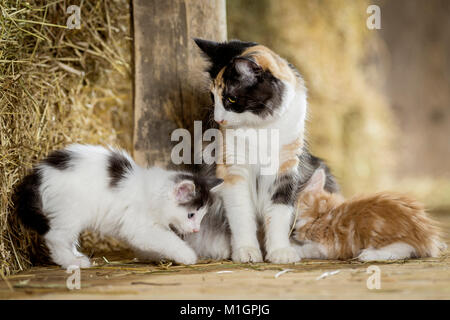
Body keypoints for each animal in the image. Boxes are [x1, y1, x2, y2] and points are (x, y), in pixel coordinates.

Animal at [15, 144, 223, 268]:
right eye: (191, 215)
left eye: (201, 217)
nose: (196, 230)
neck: (151, 193)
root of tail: (40, 172)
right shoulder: (140, 227)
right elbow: (168, 239)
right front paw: (186, 255)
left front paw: (153, 255)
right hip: (71, 212)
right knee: (55, 237)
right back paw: (71, 262)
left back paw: (76, 256)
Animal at [185, 38, 338, 262]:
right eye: (213, 97)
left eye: (231, 99)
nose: (219, 119)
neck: (260, 128)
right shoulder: (233, 170)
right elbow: (241, 215)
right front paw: (246, 251)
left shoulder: (286, 168)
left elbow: (279, 214)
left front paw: (280, 252)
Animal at [292, 169, 446, 262]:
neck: (321, 213)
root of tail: (427, 237)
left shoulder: (326, 246)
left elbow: (306, 248)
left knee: (406, 249)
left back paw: (367, 255)